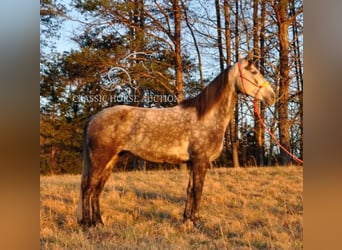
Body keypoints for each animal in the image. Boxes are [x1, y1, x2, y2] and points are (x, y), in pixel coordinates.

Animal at [78, 57, 276, 228]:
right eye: (254, 71)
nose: (272, 96)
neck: (206, 117)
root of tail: (93, 119)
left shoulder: (192, 163)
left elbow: (190, 190)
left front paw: (186, 219)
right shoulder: (200, 161)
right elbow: (197, 190)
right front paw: (196, 221)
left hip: (111, 161)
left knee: (96, 190)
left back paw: (99, 222)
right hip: (100, 160)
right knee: (88, 188)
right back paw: (88, 224)